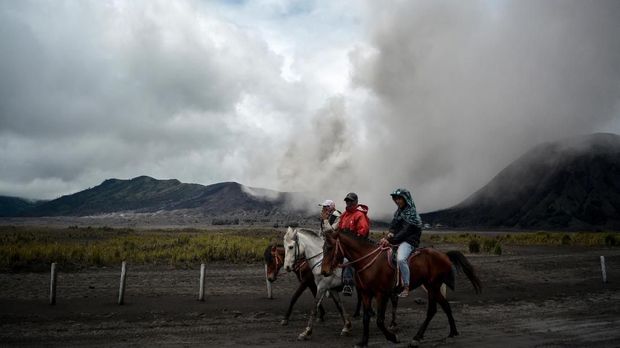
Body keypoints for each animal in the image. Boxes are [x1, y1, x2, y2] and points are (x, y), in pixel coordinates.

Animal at [322, 231, 482, 348]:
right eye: (323, 248)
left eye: (329, 248)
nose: (324, 271)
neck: (367, 261)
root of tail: (444, 255)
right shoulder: (366, 294)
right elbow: (366, 318)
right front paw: (363, 341)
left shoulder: (382, 294)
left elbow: (379, 320)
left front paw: (393, 337)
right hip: (431, 287)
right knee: (443, 307)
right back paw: (450, 332)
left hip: (433, 286)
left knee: (435, 309)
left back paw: (419, 337)